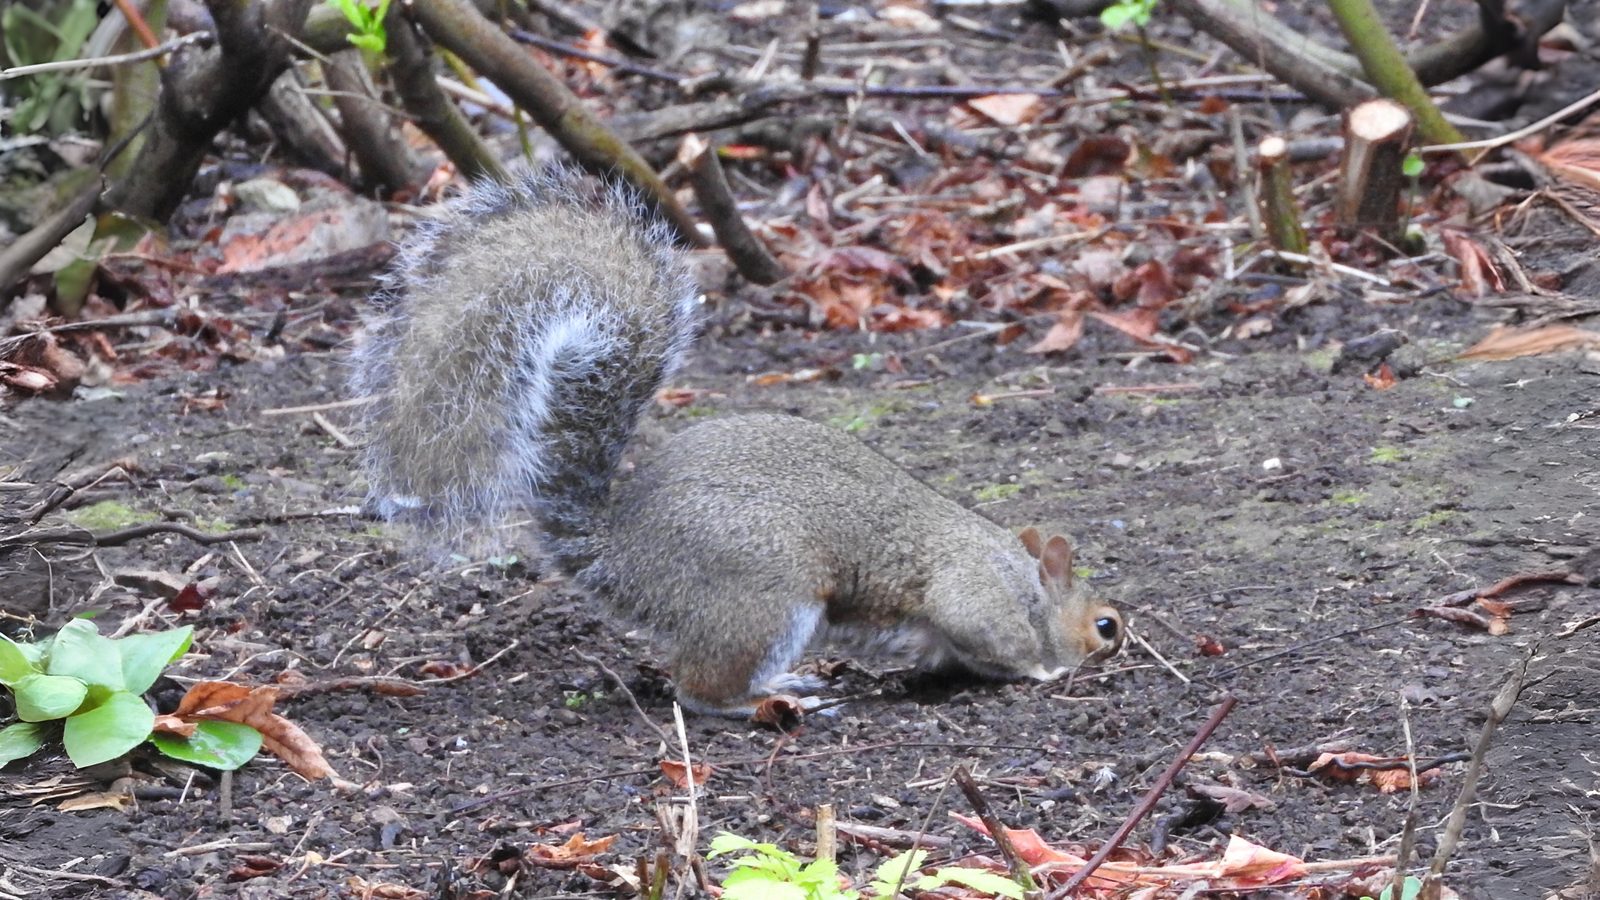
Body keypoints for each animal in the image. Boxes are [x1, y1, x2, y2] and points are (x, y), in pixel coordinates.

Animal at [352, 167, 1125, 718]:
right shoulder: (976, 597)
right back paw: (769, 698)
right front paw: (1047, 668)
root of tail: (624, 554)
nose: (1118, 651)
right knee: (697, 689)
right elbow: (996, 639)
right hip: (764, 596)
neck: (1027, 585)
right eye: (1107, 625)